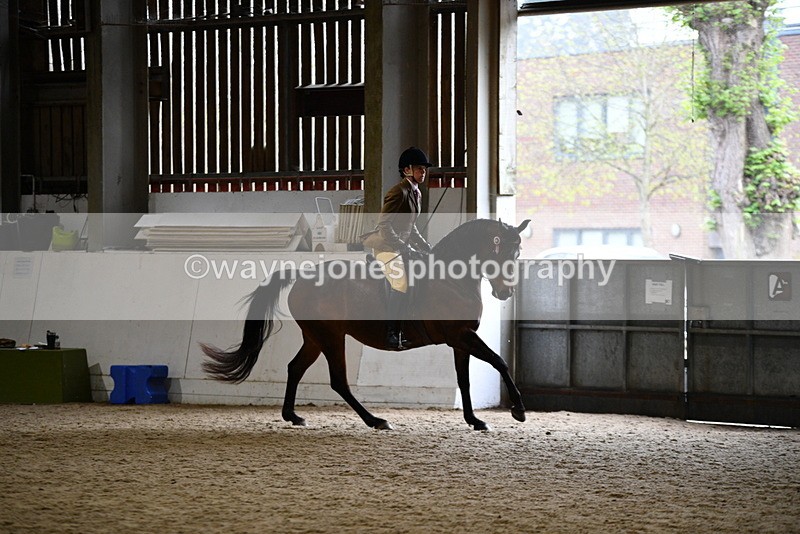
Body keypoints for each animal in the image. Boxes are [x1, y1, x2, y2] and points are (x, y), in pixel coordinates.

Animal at [201, 218, 531, 431]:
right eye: (501, 251)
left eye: (518, 253)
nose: (506, 293)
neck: (451, 278)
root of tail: (302, 275)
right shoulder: (460, 335)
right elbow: (499, 362)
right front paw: (518, 410)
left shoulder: (461, 339)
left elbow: (465, 380)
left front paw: (475, 421)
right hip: (331, 337)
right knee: (339, 380)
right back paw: (376, 420)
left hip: (315, 337)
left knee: (295, 368)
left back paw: (293, 416)